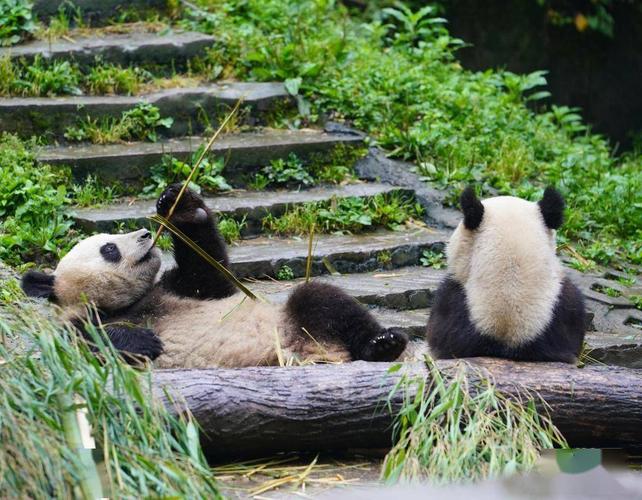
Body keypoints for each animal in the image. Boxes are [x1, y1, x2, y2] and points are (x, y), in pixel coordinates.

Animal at [23, 184, 410, 368]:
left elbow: (210, 272)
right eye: (109, 249)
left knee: (323, 300)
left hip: (293, 321)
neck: (130, 303)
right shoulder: (75, 326)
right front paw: (144, 341)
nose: (146, 235)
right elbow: (81, 345)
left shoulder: (178, 288)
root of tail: (321, 353)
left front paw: (179, 205)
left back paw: (383, 344)